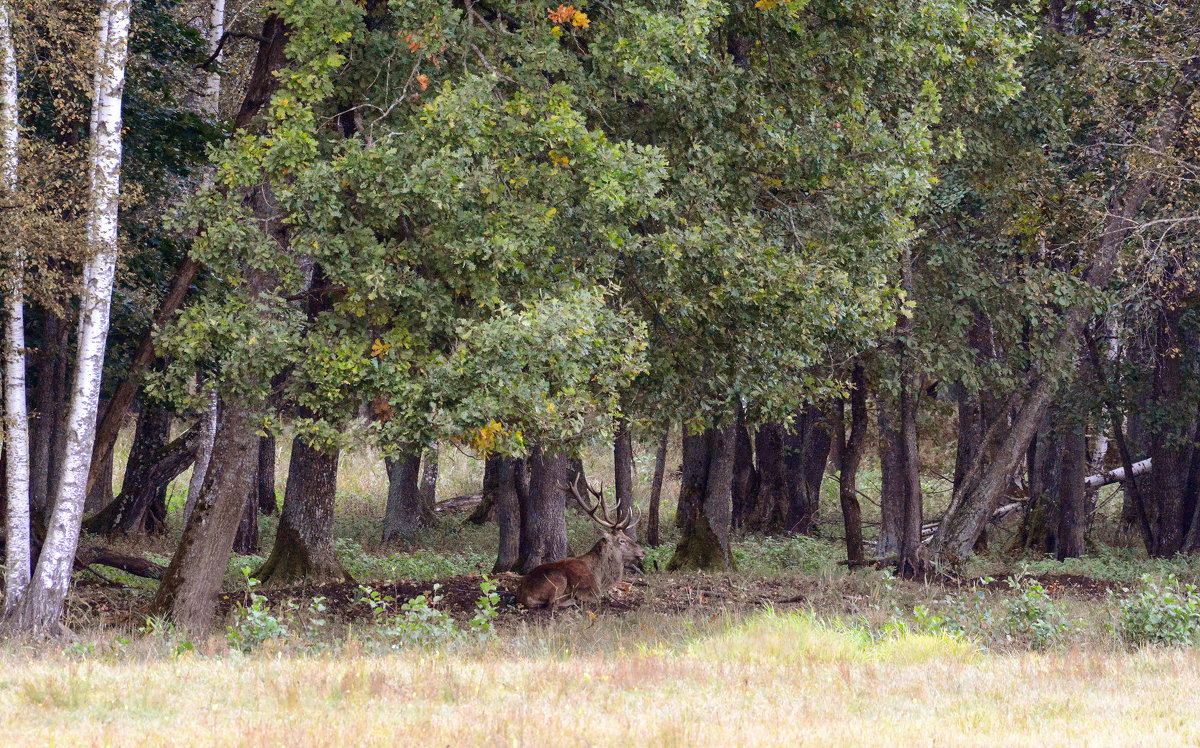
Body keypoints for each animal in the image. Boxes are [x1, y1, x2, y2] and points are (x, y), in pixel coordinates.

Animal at [516, 477, 648, 612]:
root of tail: (523, 595)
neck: (601, 577)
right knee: (553, 604)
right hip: (559, 579)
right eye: (621, 540)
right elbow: (597, 598)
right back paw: (573, 600)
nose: (644, 552)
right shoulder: (591, 590)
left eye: (627, 536)